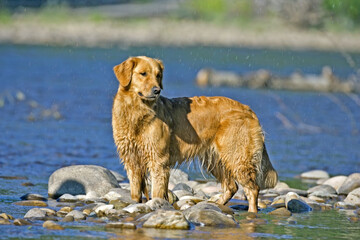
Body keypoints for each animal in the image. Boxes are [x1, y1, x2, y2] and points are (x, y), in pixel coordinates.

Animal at [112, 55, 278, 212]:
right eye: (143, 73)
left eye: (158, 75)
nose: (157, 90)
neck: (137, 112)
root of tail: (248, 109)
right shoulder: (131, 160)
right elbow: (135, 192)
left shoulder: (158, 160)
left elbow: (157, 191)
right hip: (215, 159)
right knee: (232, 187)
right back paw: (215, 205)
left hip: (237, 157)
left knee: (252, 189)